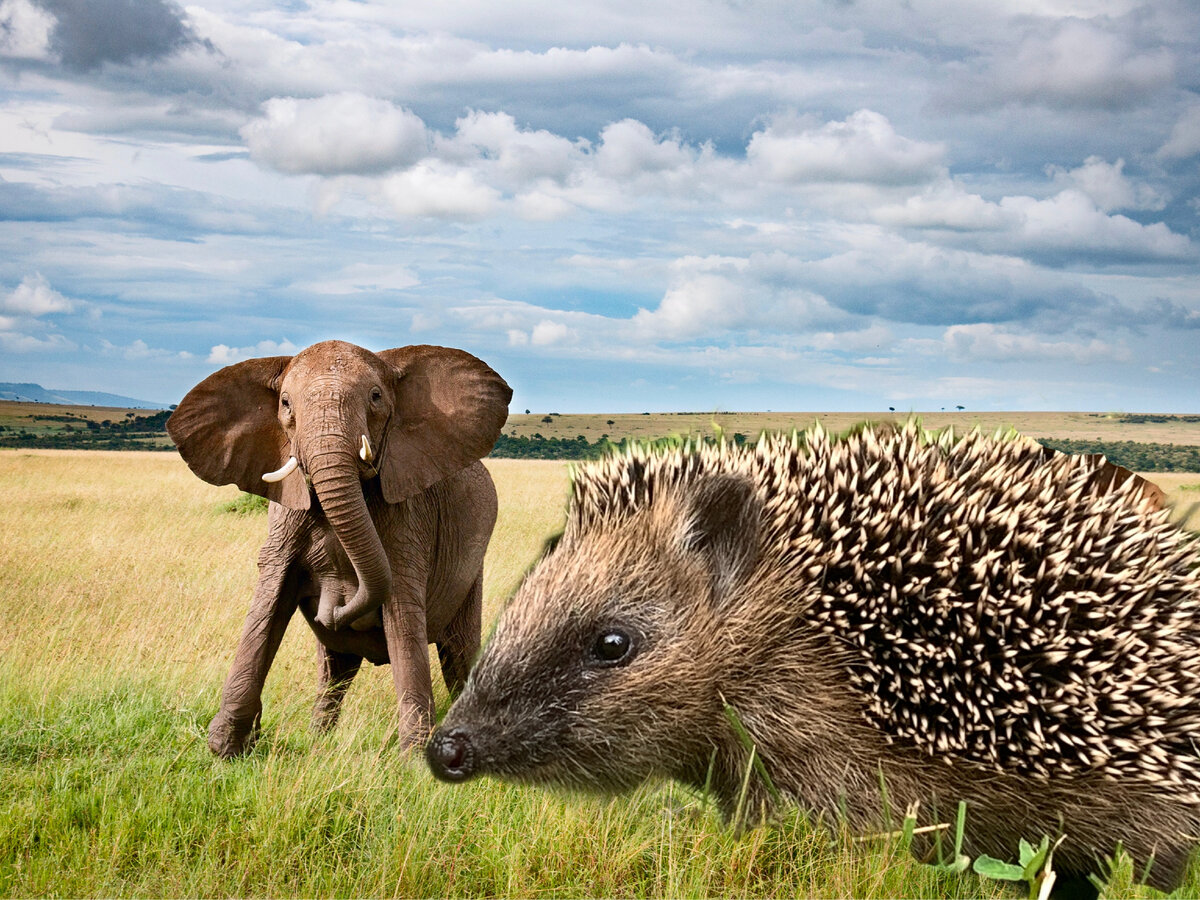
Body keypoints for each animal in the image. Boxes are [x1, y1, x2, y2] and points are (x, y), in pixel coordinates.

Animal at [168, 340, 511, 758]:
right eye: (285, 403)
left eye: (376, 397)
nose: (333, 607)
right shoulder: (285, 516)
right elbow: (268, 603)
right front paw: (225, 749)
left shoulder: (408, 519)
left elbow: (402, 615)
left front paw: (414, 763)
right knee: (335, 668)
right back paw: (318, 740)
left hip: (472, 570)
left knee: (458, 655)